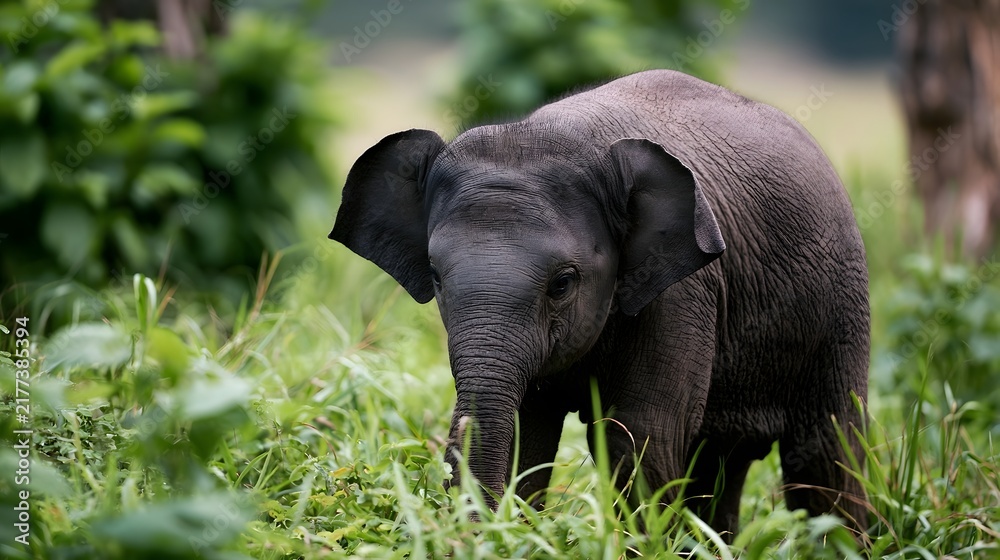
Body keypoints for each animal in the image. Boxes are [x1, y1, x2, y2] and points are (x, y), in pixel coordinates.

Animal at [330, 69, 870, 538]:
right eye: (437, 278)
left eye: (563, 283)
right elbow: (529, 433)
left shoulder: (683, 294)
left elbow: (639, 437)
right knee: (722, 463)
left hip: (843, 302)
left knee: (826, 456)